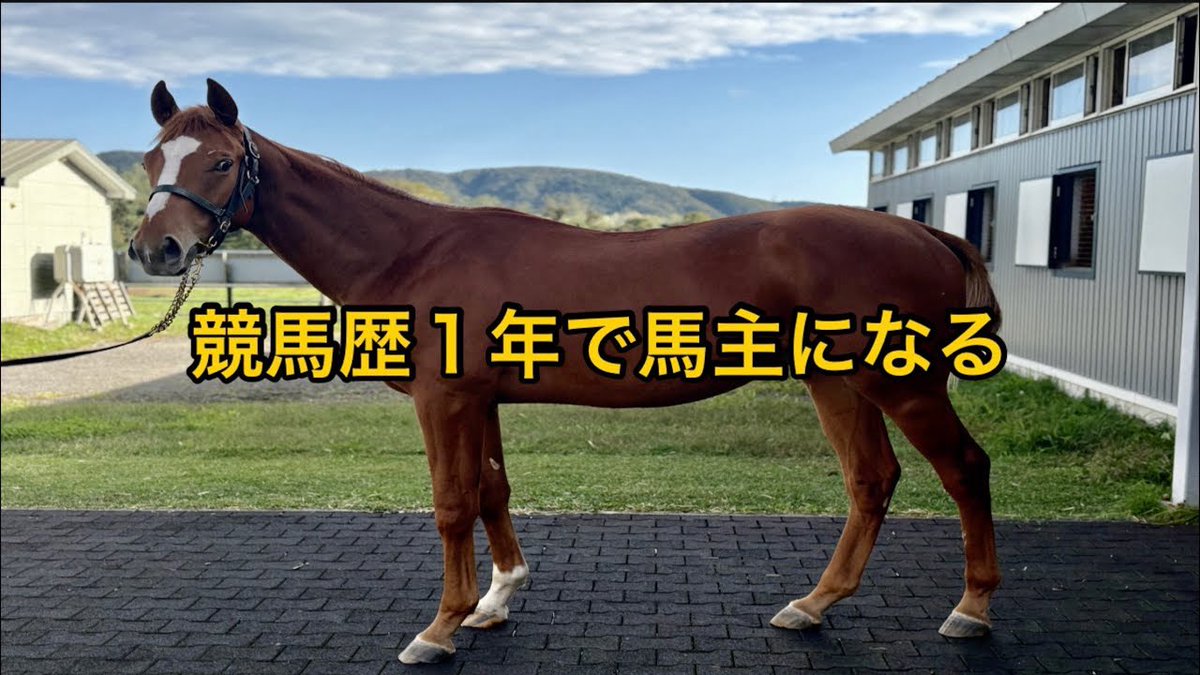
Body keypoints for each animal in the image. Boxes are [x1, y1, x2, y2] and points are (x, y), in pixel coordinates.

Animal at [129, 79, 1002, 664]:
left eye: (218, 162)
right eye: (149, 160)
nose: (155, 249)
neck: (413, 251)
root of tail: (928, 235)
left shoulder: (443, 402)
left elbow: (452, 504)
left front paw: (439, 627)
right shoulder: (479, 400)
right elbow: (492, 490)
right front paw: (495, 601)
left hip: (902, 384)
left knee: (963, 467)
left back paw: (971, 608)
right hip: (838, 382)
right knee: (871, 479)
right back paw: (814, 603)